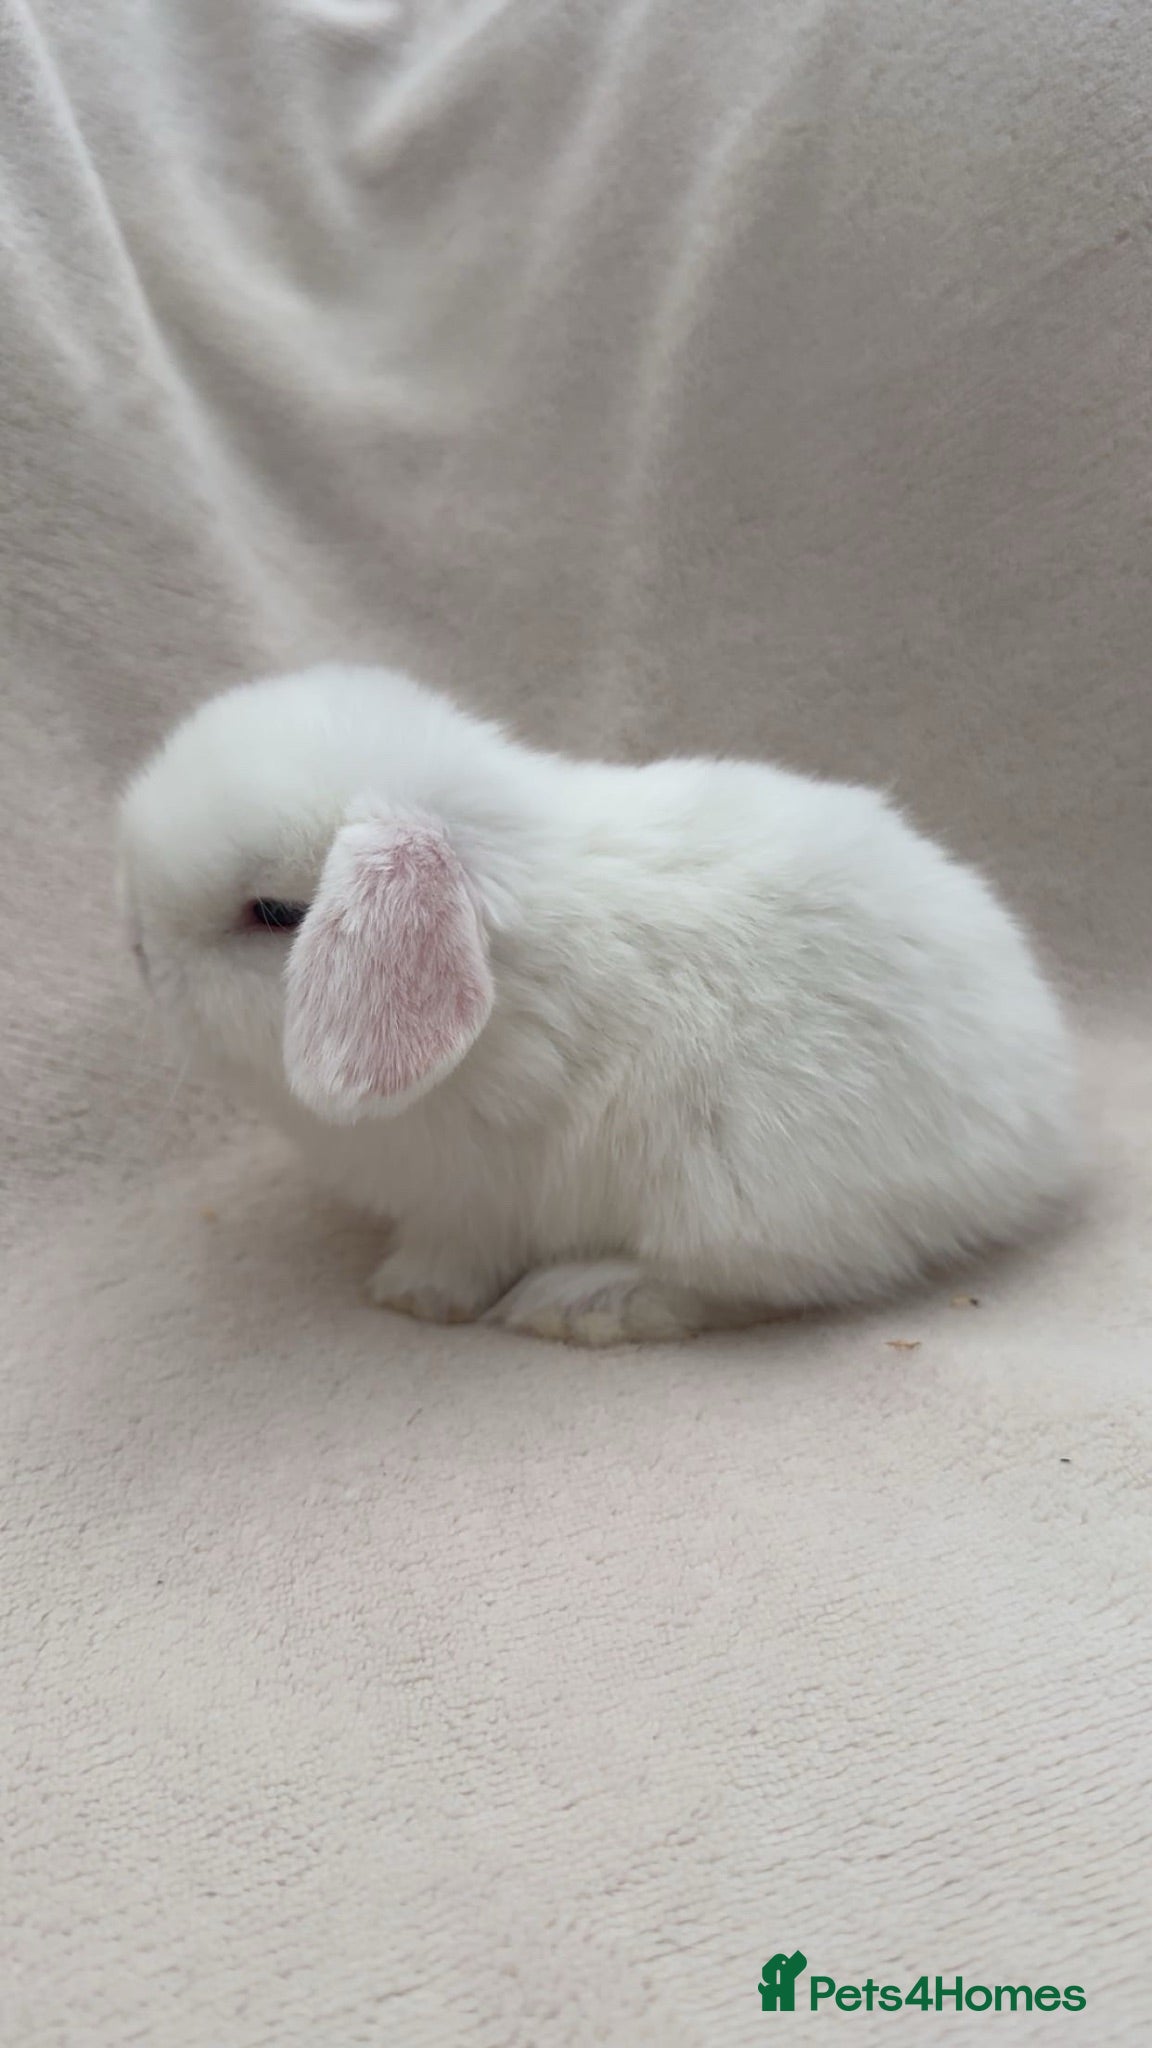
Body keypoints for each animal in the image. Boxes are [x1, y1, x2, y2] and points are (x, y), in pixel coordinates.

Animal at [116, 662, 1079, 1345]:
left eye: (276, 914)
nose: (134, 950)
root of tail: (1042, 1124)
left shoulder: (478, 1195)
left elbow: (457, 1250)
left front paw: (411, 1295)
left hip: (743, 1196)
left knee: (764, 1284)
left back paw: (580, 1302)